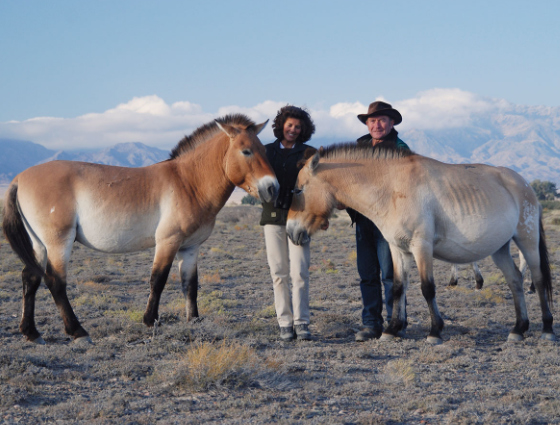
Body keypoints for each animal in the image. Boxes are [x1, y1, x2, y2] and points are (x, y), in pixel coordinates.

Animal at [1, 114, 278, 342]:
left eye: (264, 149)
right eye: (246, 151)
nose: (272, 187)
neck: (188, 182)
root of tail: (19, 178)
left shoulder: (190, 247)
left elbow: (190, 284)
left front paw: (194, 320)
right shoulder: (168, 241)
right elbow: (158, 279)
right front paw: (150, 320)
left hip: (39, 244)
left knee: (30, 278)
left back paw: (31, 332)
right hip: (58, 242)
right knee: (55, 281)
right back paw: (77, 331)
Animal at [288, 144, 556, 342]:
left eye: (299, 190)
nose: (291, 231)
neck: (391, 188)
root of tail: (525, 185)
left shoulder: (421, 247)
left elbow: (427, 288)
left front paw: (435, 331)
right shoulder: (398, 249)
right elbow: (398, 288)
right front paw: (392, 329)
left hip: (527, 240)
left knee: (538, 280)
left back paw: (547, 329)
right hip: (500, 249)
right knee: (515, 281)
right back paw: (518, 329)